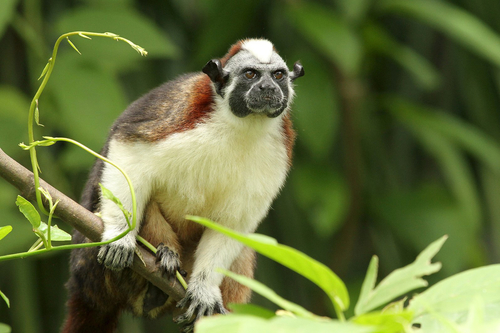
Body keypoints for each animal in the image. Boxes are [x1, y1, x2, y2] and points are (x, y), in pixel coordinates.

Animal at [62, 37, 304, 330]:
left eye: (278, 76)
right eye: (251, 75)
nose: (268, 88)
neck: (244, 124)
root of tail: (82, 286)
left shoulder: (279, 152)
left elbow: (234, 223)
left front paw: (204, 289)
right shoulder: (181, 118)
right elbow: (129, 149)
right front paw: (121, 236)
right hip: (91, 269)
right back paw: (163, 257)